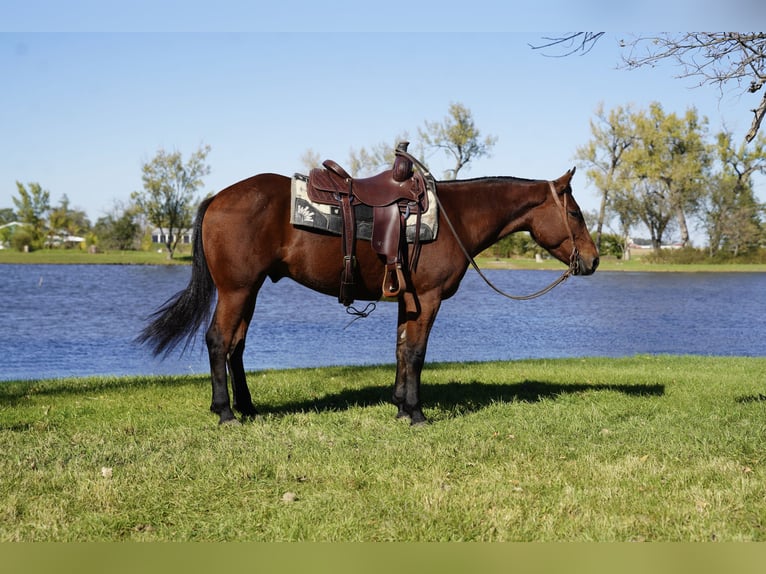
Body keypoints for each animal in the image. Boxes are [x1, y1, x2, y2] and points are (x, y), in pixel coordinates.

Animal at [138, 165, 599, 425]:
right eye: (575, 213)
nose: (593, 260)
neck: (454, 218)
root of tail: (218, 197)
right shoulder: (428, 298)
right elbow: (416, 353)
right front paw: (416, 414)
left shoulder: (408, 300)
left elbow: (400, 349)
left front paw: (399, 406)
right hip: (236, 290)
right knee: (219, 341)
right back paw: (226, 412)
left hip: (248, 290)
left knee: (236, 346)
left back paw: (248, 408)